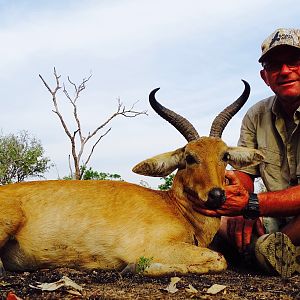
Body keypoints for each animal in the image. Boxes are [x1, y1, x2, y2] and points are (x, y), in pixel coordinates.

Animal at [0, 80, 262, 276]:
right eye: (189, 157)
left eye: (224, 155)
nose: (217, 195)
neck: (174, 207)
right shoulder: (156, 246)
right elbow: (219, 259)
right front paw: (134, 267)